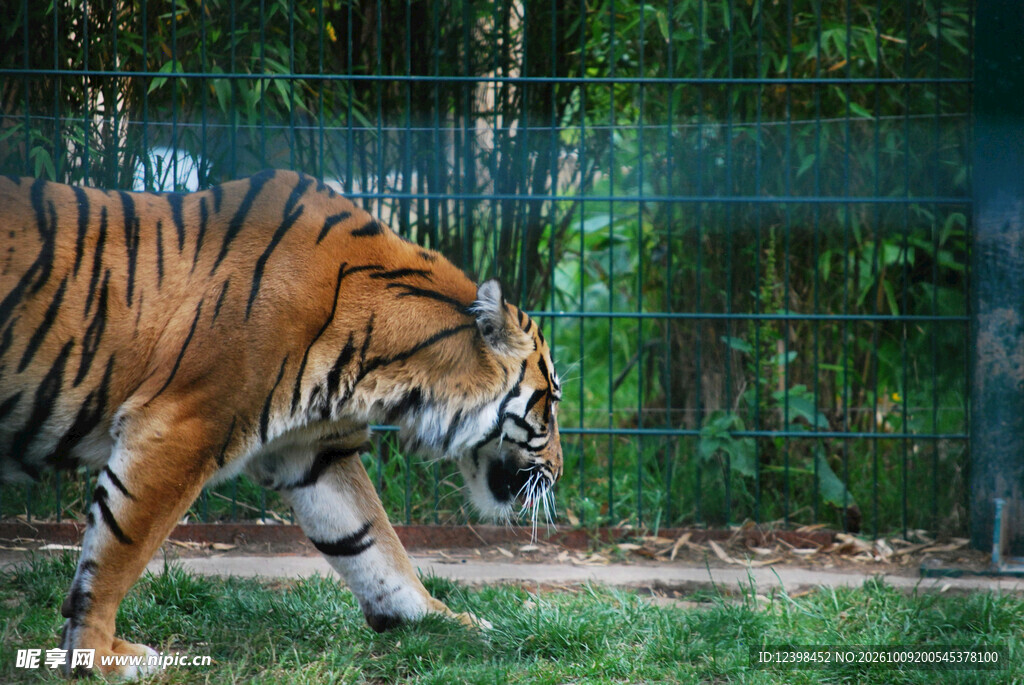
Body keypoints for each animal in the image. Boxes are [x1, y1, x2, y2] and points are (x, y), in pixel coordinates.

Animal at [0, 169, 563, 678]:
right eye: (552, 403)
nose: (557, 473)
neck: (385, 364)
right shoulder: (179, 427)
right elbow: (118, 550)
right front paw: (97, 657)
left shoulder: (313, 451)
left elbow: (373, 545)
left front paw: (446, 621)